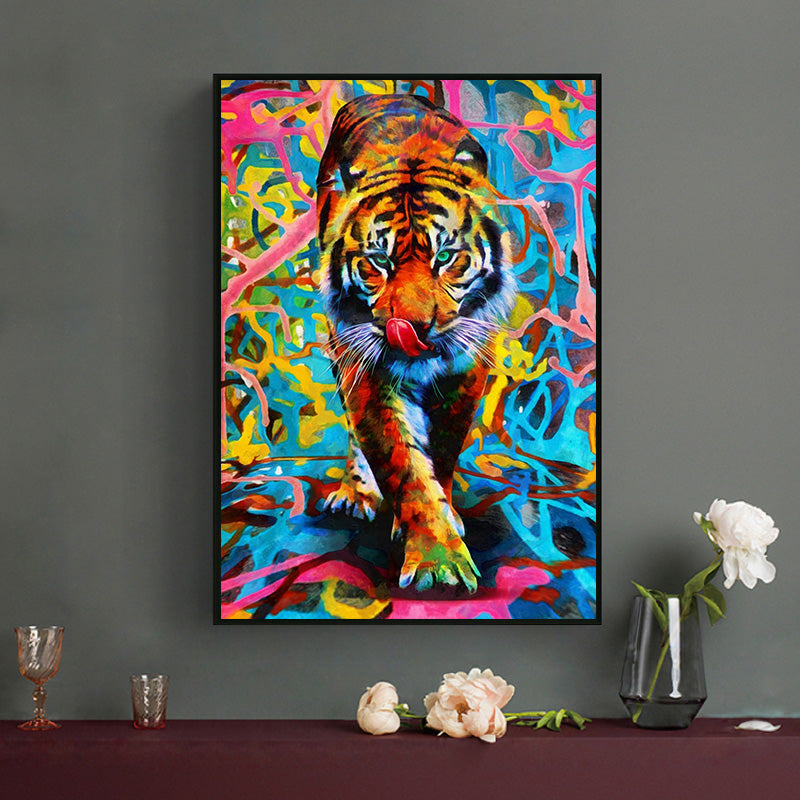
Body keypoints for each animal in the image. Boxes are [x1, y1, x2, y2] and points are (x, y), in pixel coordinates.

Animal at [316, 93, 516, 593]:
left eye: (445, 257)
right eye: (378, 262)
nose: (412, 326)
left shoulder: (466, 372)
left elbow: (440, 454)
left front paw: (446, 524)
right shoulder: (364, 368)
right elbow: (404, 465)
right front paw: (437, 563)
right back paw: (355, 493)